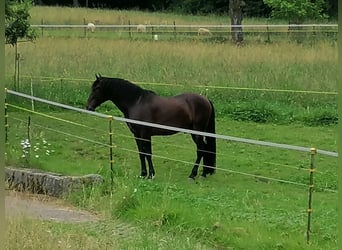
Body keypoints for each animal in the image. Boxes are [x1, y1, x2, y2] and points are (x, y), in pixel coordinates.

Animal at [87, 74, 216, 180]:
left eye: (97, 88)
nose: (88, 107)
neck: (136, 102)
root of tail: (206, 99)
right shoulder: (137, 134)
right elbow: (141, 154)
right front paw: (143, 174)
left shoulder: (145, 134)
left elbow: (148, 153)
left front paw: (150, 175)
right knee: (204, 149)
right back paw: (204, 173)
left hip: (197, 132)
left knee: (201, 150)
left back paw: (193, 175)